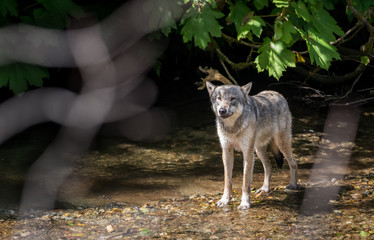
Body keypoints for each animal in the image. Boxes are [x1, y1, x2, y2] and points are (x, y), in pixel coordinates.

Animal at [206, 81, 300, 209]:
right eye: (219, 98)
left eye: (232, 99)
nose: (222, 110)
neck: (232, 128)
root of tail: (277, 93)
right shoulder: (226, 152)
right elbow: (227, 181)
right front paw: (225, 200)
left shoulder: (247, 153)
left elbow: (245, 182)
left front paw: (245, 203)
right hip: (258, 150)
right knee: (269, 166)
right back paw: (265, 188)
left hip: (281, 144)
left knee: (293, 163)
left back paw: (293, 185)